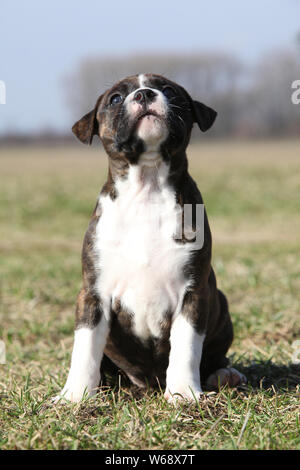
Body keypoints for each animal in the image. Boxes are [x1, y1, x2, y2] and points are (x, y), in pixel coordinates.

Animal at [54, 73, 246, 404]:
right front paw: (74, 396)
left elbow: (186, 347)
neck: (148, 186)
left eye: (168, 89)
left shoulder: (194, 293)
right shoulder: (93, 294)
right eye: (116, 98)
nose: (145, 94)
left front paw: (183, 393)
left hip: (219, 304)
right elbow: (85, 348)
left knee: (214, 356)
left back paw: (225, 374)